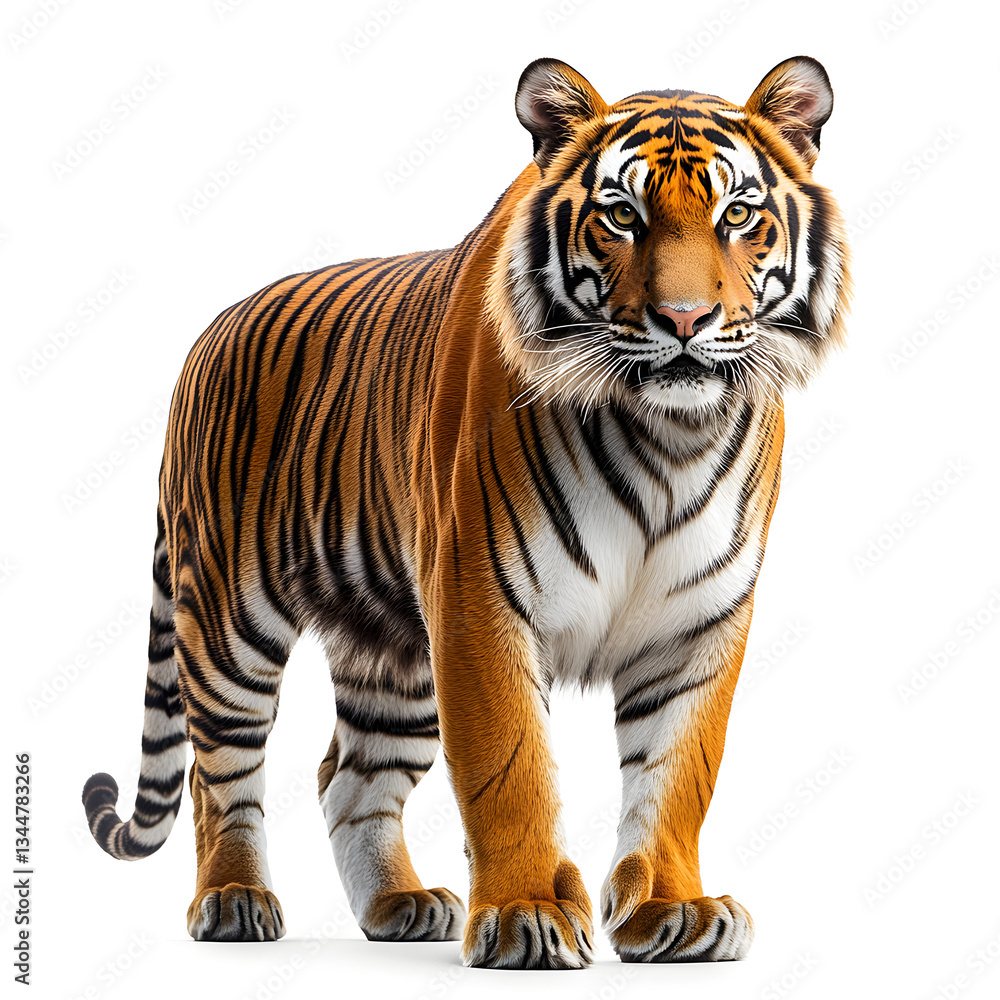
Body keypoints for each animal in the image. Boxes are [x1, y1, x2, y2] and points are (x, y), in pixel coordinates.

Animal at [81, 55, 850, 969]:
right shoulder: (480, 600)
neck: (668, 434)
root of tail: (202, 341)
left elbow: (678, 773)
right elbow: (508, 765)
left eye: (738, 215)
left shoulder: (699, 620)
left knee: (348, 775)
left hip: (394, 650)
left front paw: (674, 910)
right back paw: (234, 900)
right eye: (622, 216)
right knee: (219, 771)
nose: (686, 320)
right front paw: (526, 914)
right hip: (231, 619)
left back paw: (399, 904)